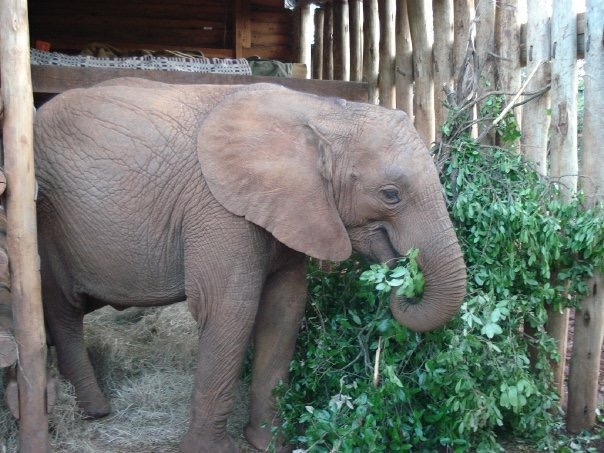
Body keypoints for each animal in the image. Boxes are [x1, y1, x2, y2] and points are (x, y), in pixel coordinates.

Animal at [34, 79, 468, 450]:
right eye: (391, 194)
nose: (405, 276)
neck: (324, 113)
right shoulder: (219, 208)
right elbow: (230, 309)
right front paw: (211, 450)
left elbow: (284, 308)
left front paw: (270, 444)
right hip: (45, 217)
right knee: (62, 307)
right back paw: (94, 410)